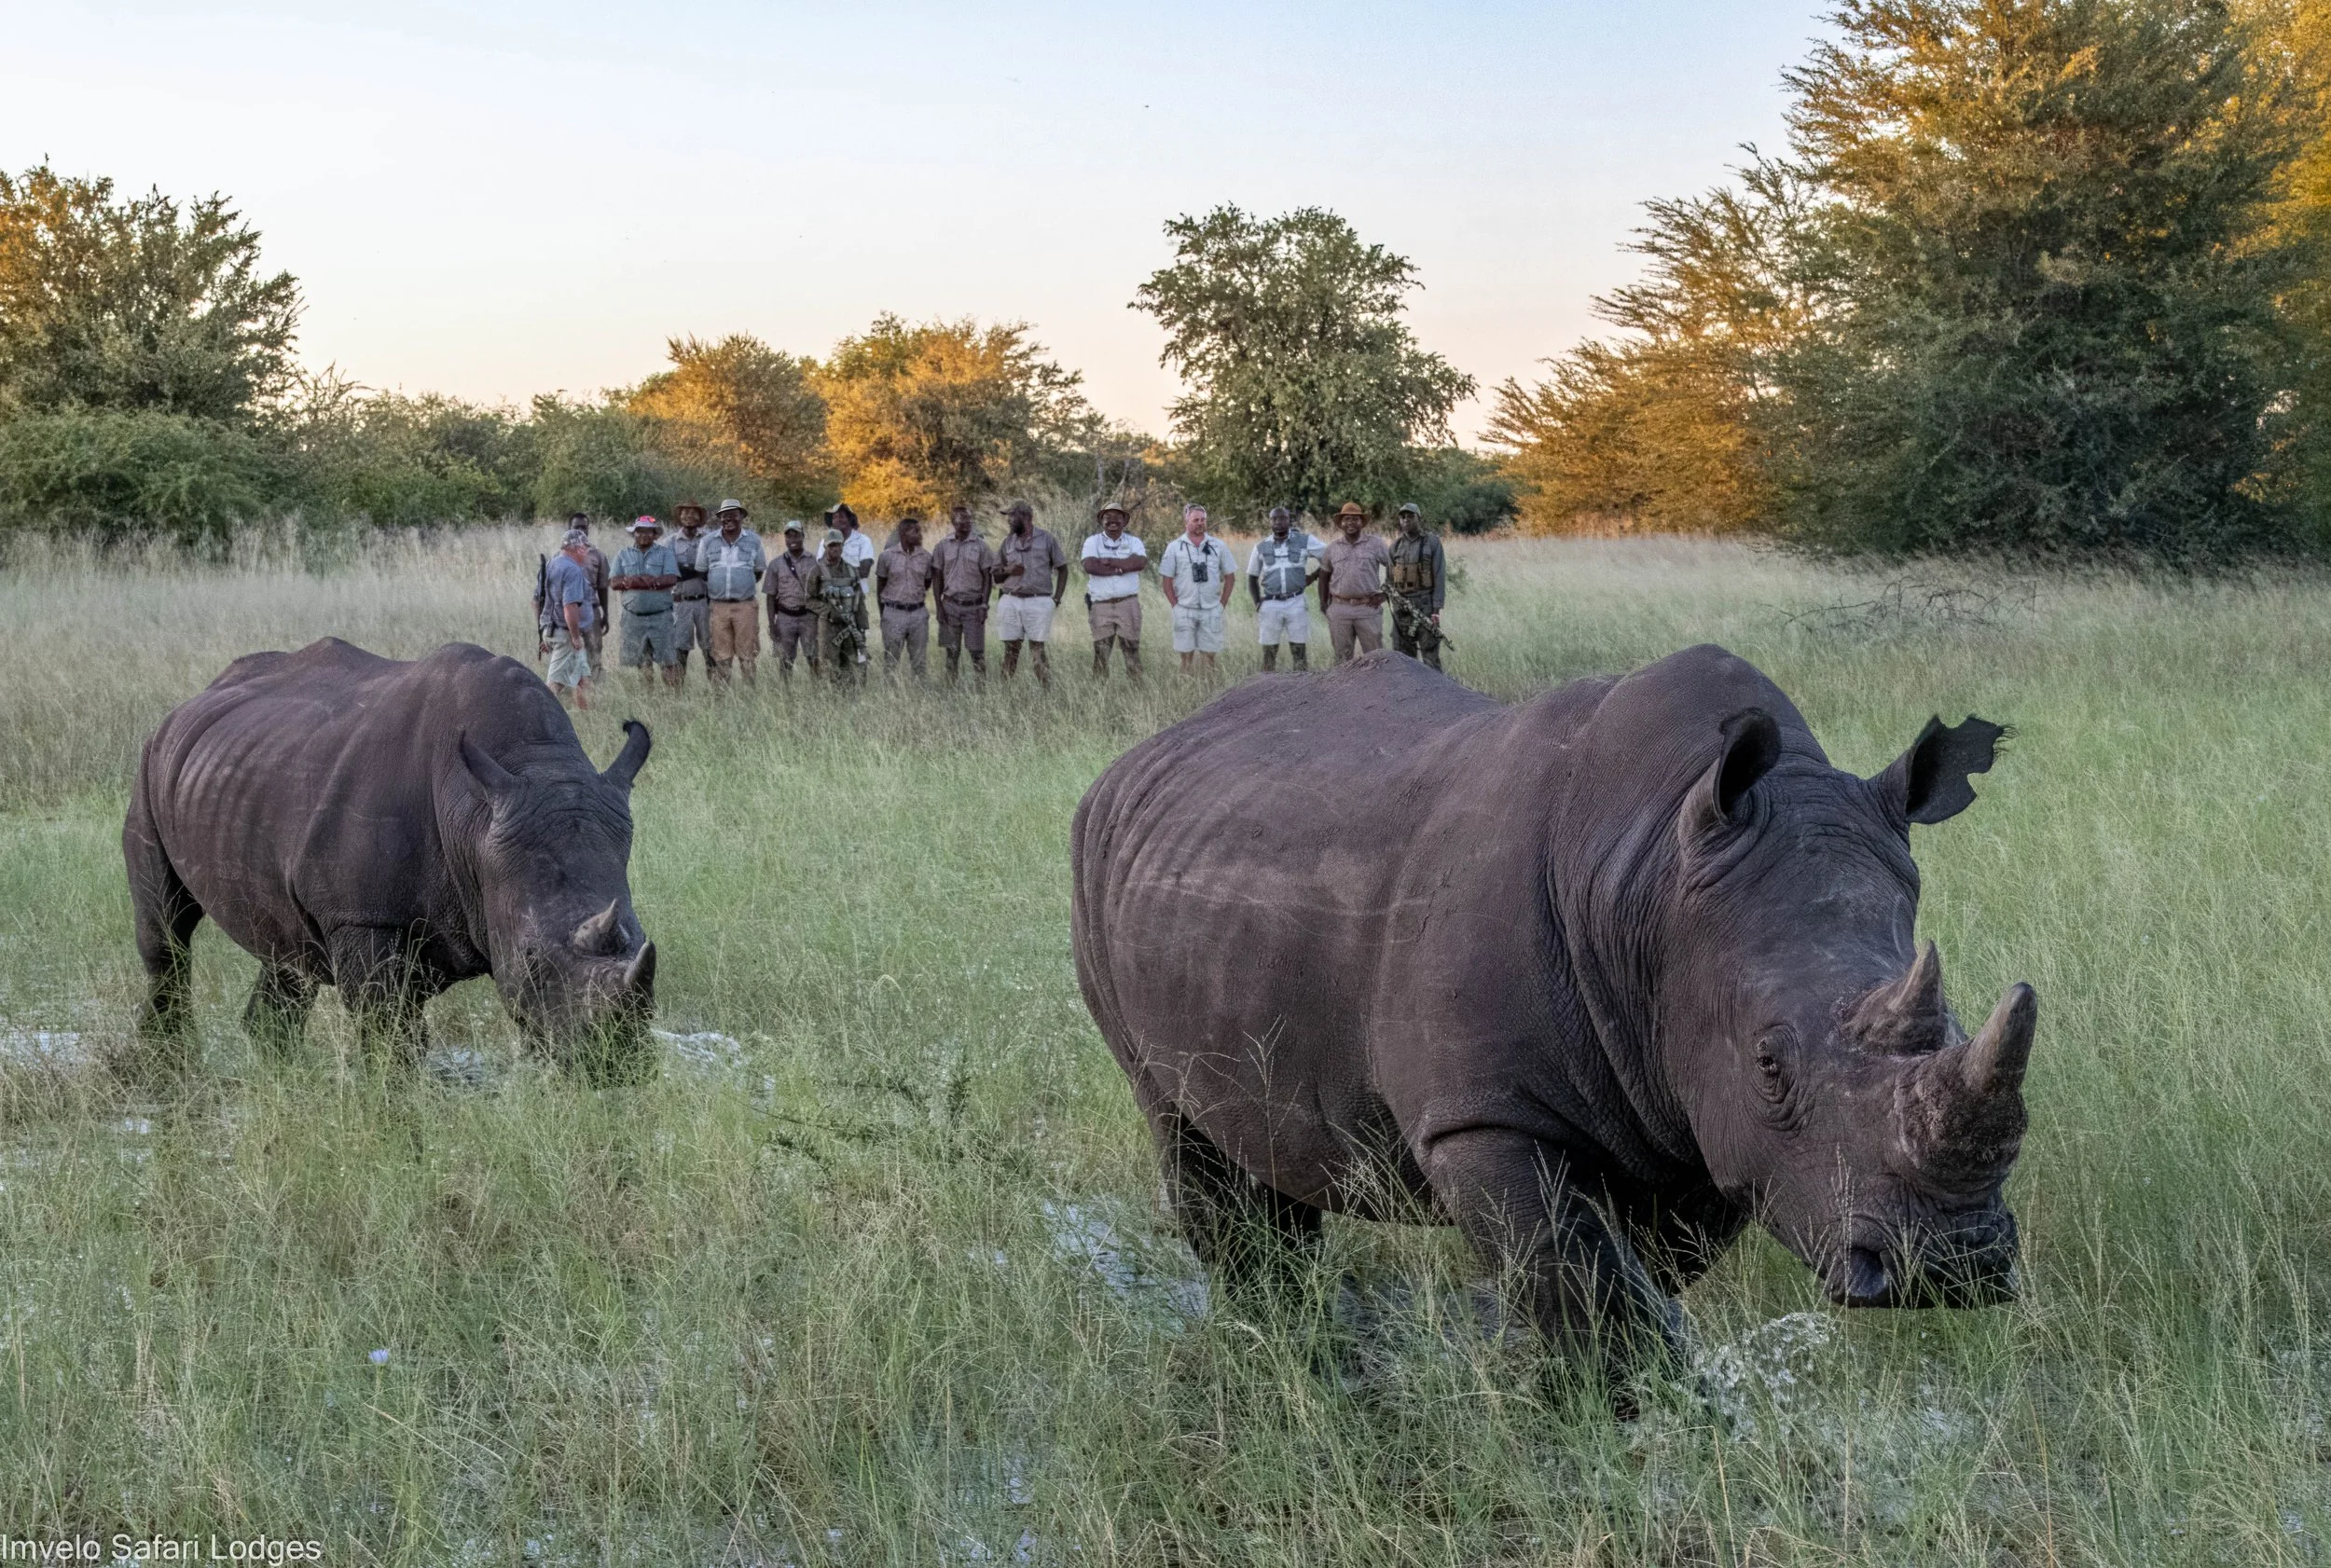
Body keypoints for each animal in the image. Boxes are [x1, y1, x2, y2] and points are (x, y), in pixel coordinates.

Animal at [125, 638, 658, 1079]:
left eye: (643, 941)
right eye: (529, 959)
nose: (614, 1067)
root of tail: (189, 702)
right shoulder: (362, 916)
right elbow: (390, 1038)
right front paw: (396, 1116)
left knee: (286, 953)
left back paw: (282, 1080)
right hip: (149, 764)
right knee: (167, 932)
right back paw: (169, 1066)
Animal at [1071, 645, 2036, 1398]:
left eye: (1956, 1023)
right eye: (1770, 1065)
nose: (1950, 1265)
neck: (1651, 876)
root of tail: (1136, 757)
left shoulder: (1698, 1117)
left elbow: (1625, 1273)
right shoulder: (1487, 1113)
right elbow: (1578, 1274)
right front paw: (1614, 1416)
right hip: (1093, 857)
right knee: (1178, 1126)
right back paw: (1286, 1351)